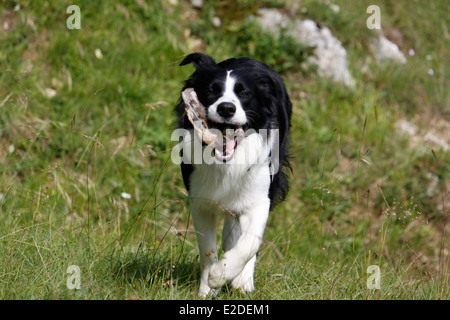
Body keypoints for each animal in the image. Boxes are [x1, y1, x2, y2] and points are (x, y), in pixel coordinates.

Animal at [174, 53, 294, 298]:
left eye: (244, 94)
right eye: (210, 90)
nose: (227, 108)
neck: (227, 164)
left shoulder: (259, 198)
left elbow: (250, 242)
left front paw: (224, 275)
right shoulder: (201, 201)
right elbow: (207, 249)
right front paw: (208, 288)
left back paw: (242, 281)